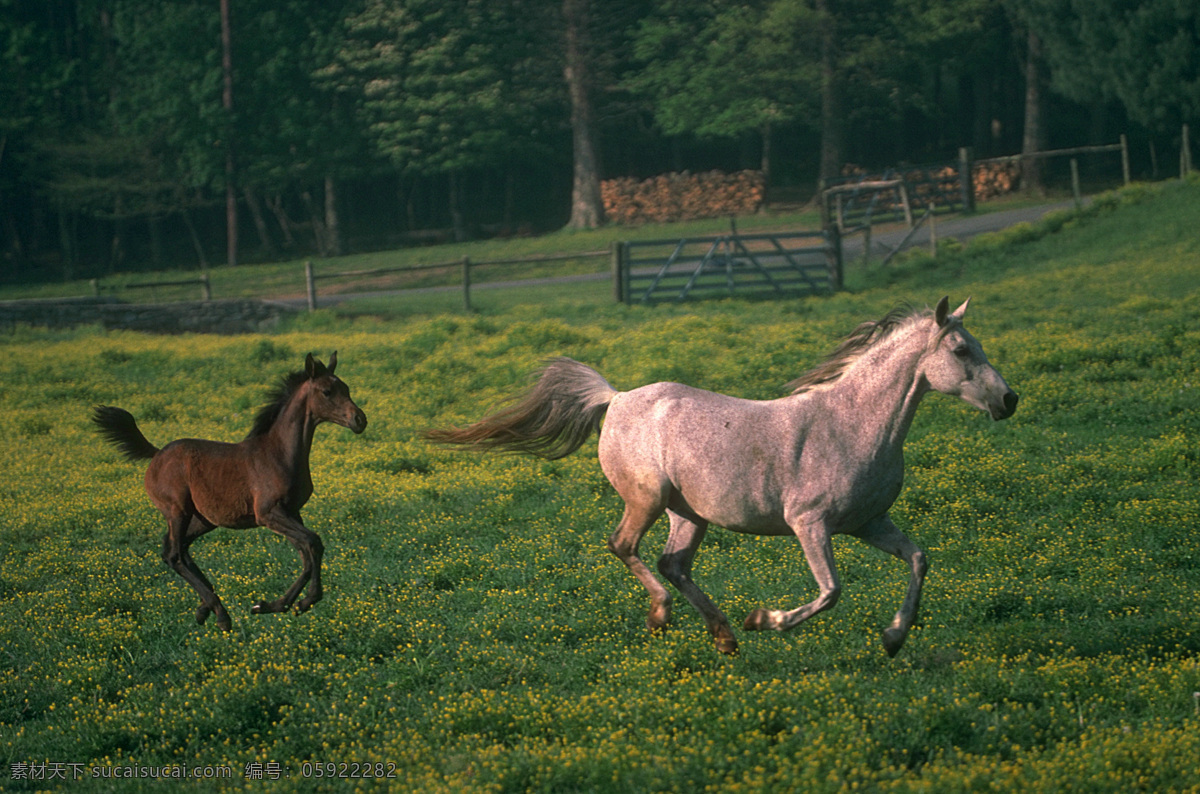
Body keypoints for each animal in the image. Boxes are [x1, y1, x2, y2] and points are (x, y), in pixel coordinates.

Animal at [93, 352, 367, 631]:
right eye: (327, 391)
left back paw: (205, 608)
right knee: (173, 554)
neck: (279, 452)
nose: (359, 420)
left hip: (203, 519)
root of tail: (156, 454)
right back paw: (221, 614)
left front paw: (279, 605)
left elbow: (307, 554)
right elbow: (313, 543)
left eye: (346, 388)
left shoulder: (291, 513)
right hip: (177, 511)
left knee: (180, 549)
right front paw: (292, 603)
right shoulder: (269, 513)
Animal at [424, 297, 1017, 656]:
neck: (852, 423)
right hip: (646, 499)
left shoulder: (868, 522)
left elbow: (918, 560)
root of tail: (615, 398)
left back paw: (723, 635)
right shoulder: (811, 524)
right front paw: (765, 620)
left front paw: (894, 637)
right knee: (624, 546)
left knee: (673, 562)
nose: (1009, 400)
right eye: (961, 349)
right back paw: (668, 617)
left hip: (689, 515)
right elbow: (830, 592)